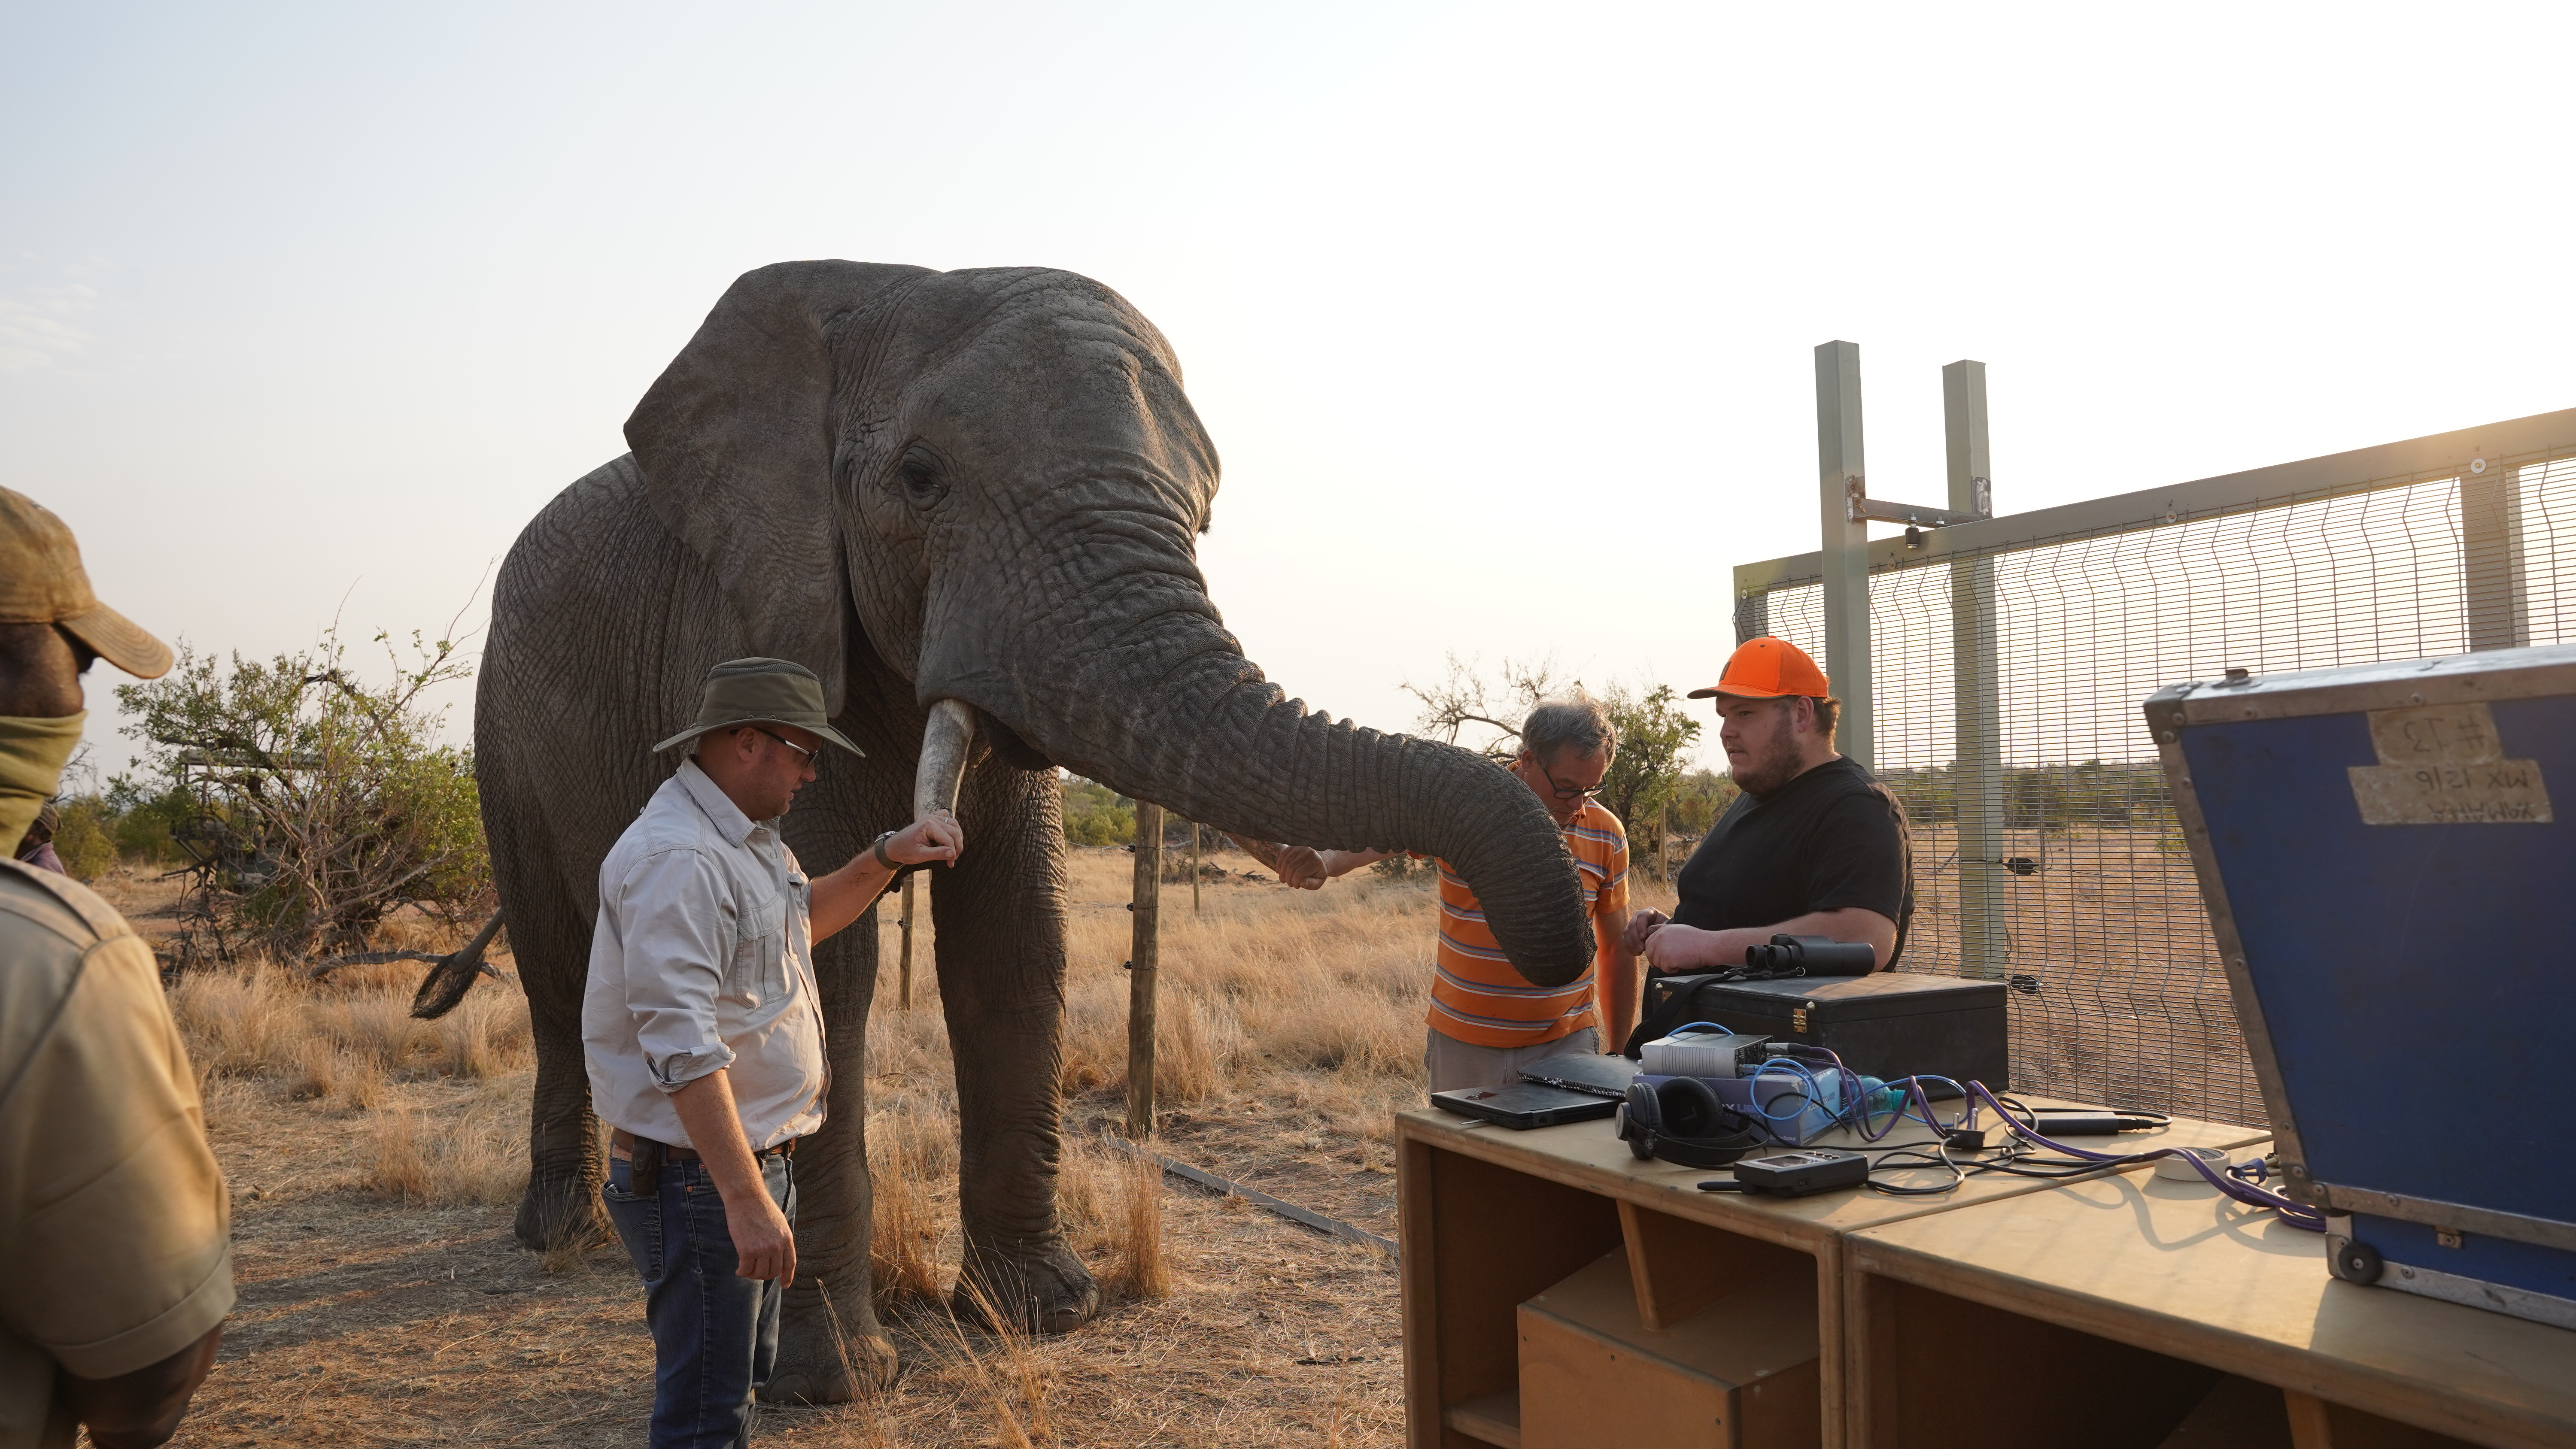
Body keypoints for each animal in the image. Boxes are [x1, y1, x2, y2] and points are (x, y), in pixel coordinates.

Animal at [467, 260, 1594, 1399]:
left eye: (1206, 515)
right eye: (920, 477)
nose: (1564, 947)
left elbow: (1016, 940)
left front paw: (1045, 1313)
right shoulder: (753, 617)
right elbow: (829, 969)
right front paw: (834, 1382)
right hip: (500, 731)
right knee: (557, 967)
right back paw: (565, 1232)